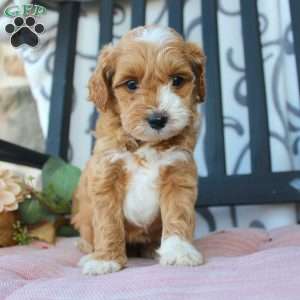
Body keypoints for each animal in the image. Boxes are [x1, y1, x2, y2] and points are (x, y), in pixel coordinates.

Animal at [71, 25, 205, 274]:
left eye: (177, 80)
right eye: (131, 84)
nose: (158, 119)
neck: (146, 144)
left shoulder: (178, 172)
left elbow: (178, 214)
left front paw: (178, 251)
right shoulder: (106, 175)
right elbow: (107, 222)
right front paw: (106, 259)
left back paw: (153, 249)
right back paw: (89, 252)